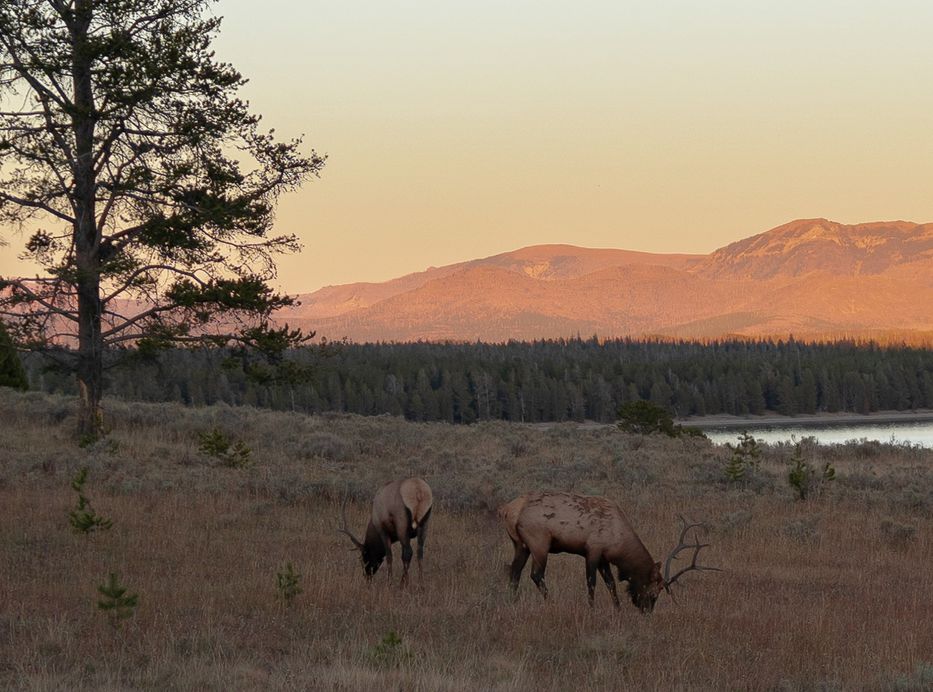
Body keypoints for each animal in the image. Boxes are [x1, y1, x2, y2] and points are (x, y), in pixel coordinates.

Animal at [498, 492, 716, 612]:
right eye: (654, 592)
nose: (647, 612)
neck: (618, 543)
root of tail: (509, 510)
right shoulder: (593, 550)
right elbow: (591, 582)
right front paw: (592, 608)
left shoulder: (604, 558)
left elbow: (611, 583)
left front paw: (617, 608)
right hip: (539, 542)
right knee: (536, 574)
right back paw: (550, 602)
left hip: (520, 544)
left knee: (514, 571)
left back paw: (512, 601)